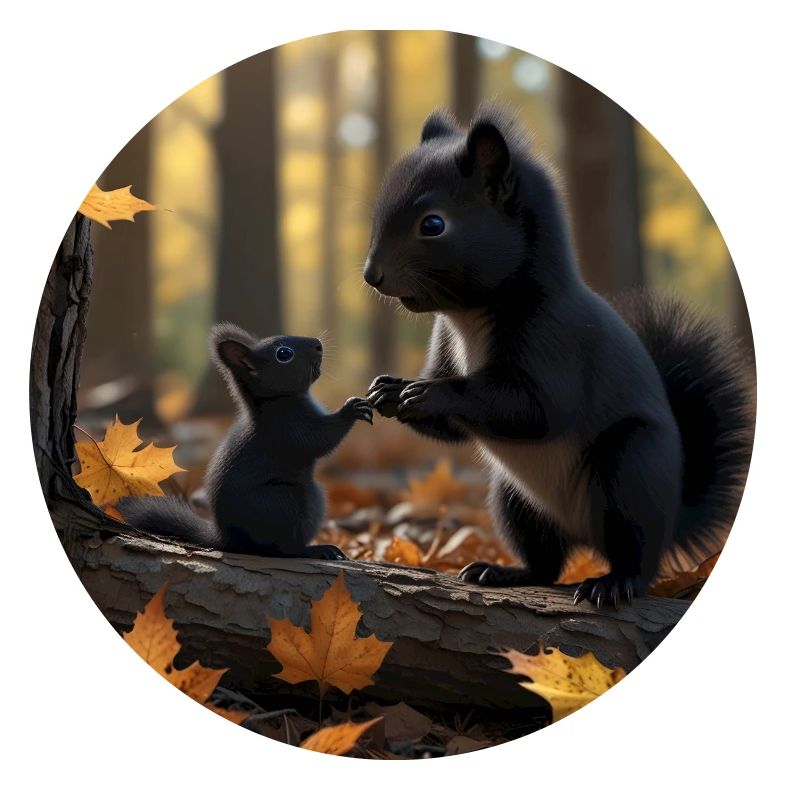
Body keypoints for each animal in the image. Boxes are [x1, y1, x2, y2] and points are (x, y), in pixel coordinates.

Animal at [118, 323, 373, 559]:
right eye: (284, 354)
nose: (318, 344)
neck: (273, 401)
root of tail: (227, 539)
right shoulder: (288, 427)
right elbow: (320, 440)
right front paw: (352, 409)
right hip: (281, 503)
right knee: (283, 549)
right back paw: (316, 550)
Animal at [364, 105, 755, 607]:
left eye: (433, 224)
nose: (371, 275)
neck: (470, 316)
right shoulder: (445, 344)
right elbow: (451, 430)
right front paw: (390, 389)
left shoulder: (556, 342)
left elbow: (534, 410)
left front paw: (429, 393)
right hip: (514, 501)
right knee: (546, 563)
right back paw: (502, 571)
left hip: (631, 469)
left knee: (636, 556)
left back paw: (612, 583)